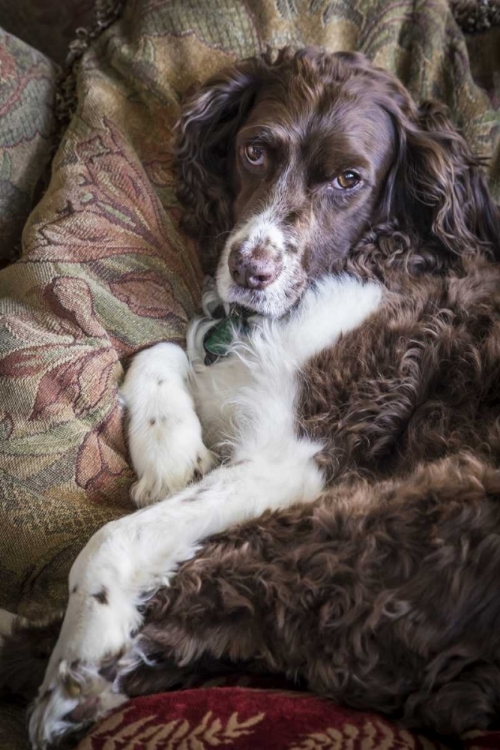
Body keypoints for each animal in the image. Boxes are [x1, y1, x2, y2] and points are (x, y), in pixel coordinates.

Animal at [2, 50, 500, 748]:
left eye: (349, 178)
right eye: (255, 150)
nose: (249, 270)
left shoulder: (298, 455)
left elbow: (113, 539)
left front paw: (82, 648)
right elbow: (157, 351)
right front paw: (171, 457)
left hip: (406, 513)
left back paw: (71, 680)